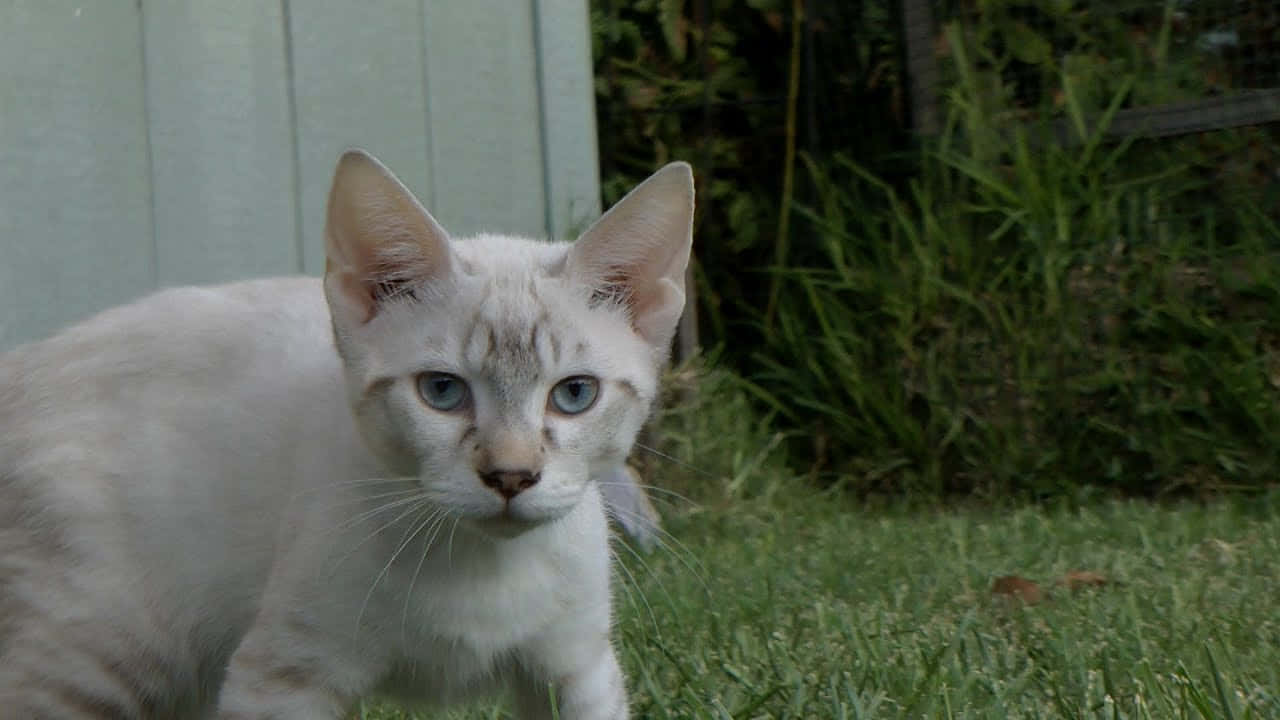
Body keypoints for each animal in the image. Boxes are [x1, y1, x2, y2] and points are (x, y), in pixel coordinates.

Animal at [0, 148, 691, 712]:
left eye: (574, 395)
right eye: (442, 391)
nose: (511, 476)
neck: (483, 569)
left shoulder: (577, 672)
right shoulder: (284, 676)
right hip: (102, 649)